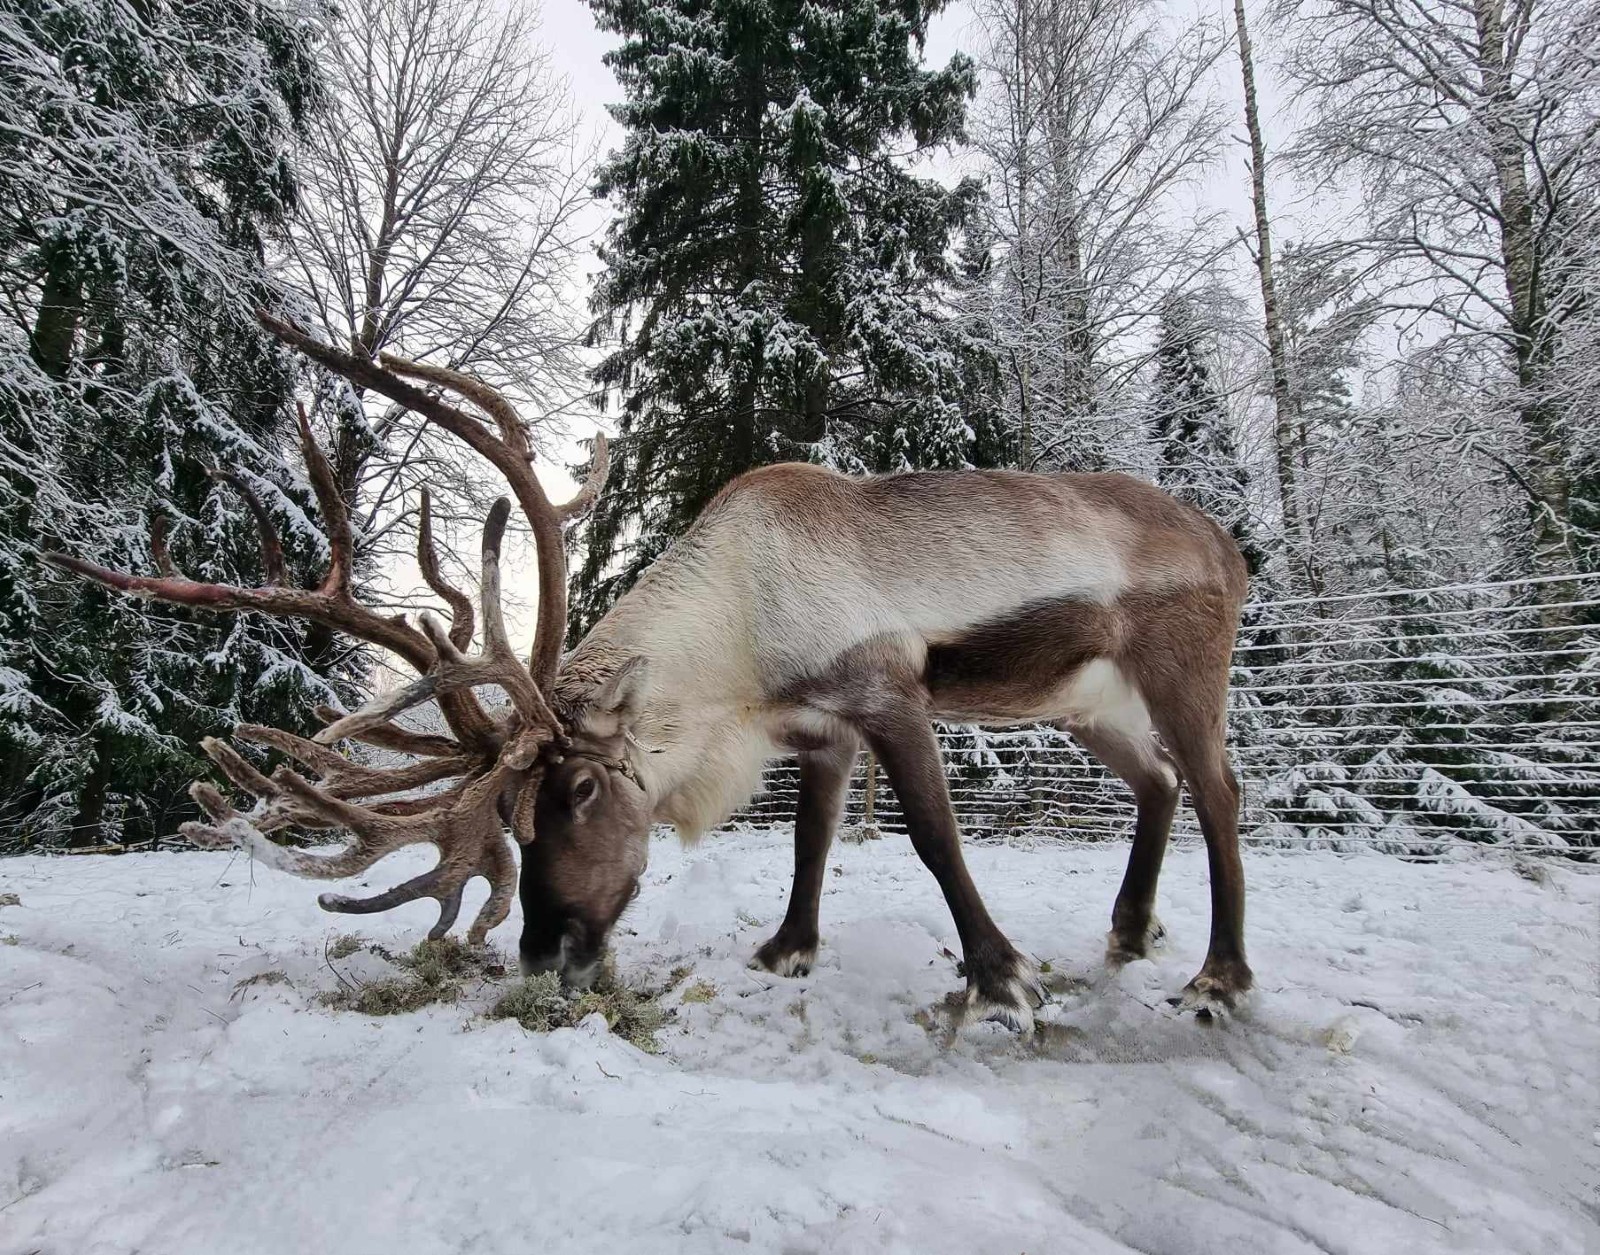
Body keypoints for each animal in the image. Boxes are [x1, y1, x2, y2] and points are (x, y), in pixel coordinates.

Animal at [44, 312, 1252, 1032]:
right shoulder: (817, 729)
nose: (547, 955)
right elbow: (811, 841)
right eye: (515, 818)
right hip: (1083, 699)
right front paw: (786, 950)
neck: (741, 639)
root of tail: (1226, 542)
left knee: (1217, 788)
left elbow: (931, 839)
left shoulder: (886, 697)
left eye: (576, 789)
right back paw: (1130, 930)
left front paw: (1000, 976)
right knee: (1156, 782)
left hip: (1182, 664)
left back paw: (1216, 974)